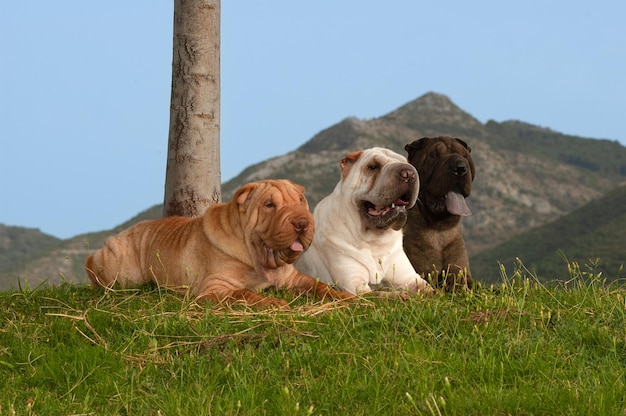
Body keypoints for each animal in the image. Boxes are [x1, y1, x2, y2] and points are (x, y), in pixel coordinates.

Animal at [85, 179, 354, 308]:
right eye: (269, 205)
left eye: (300, 201)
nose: (302, 223)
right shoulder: (215, 288)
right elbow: (244, 294)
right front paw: (273, 302)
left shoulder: (293, 279)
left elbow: (320, 287)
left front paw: (347, 298)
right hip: (121, 271)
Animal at [294, 146, 432, 296]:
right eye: (373, 166)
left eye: (406, 163)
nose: (409, 173)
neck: (375, 242)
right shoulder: (355, 285)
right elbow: (380, 294)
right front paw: (400, 295)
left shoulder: (410, 278)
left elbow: (432, 291)